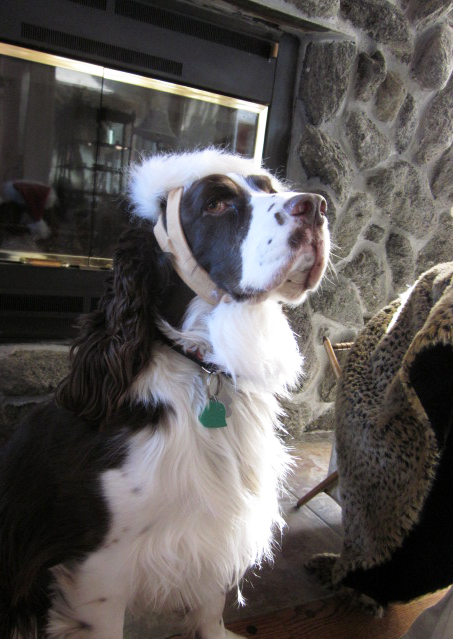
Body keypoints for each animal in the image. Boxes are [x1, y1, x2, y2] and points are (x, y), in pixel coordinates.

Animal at [0, 148, 328, 636]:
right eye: (215, 204)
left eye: (268, 188)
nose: (317, 205)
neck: (201, 369)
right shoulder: (100, 571)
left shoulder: (215, 535)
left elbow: (210, 608)